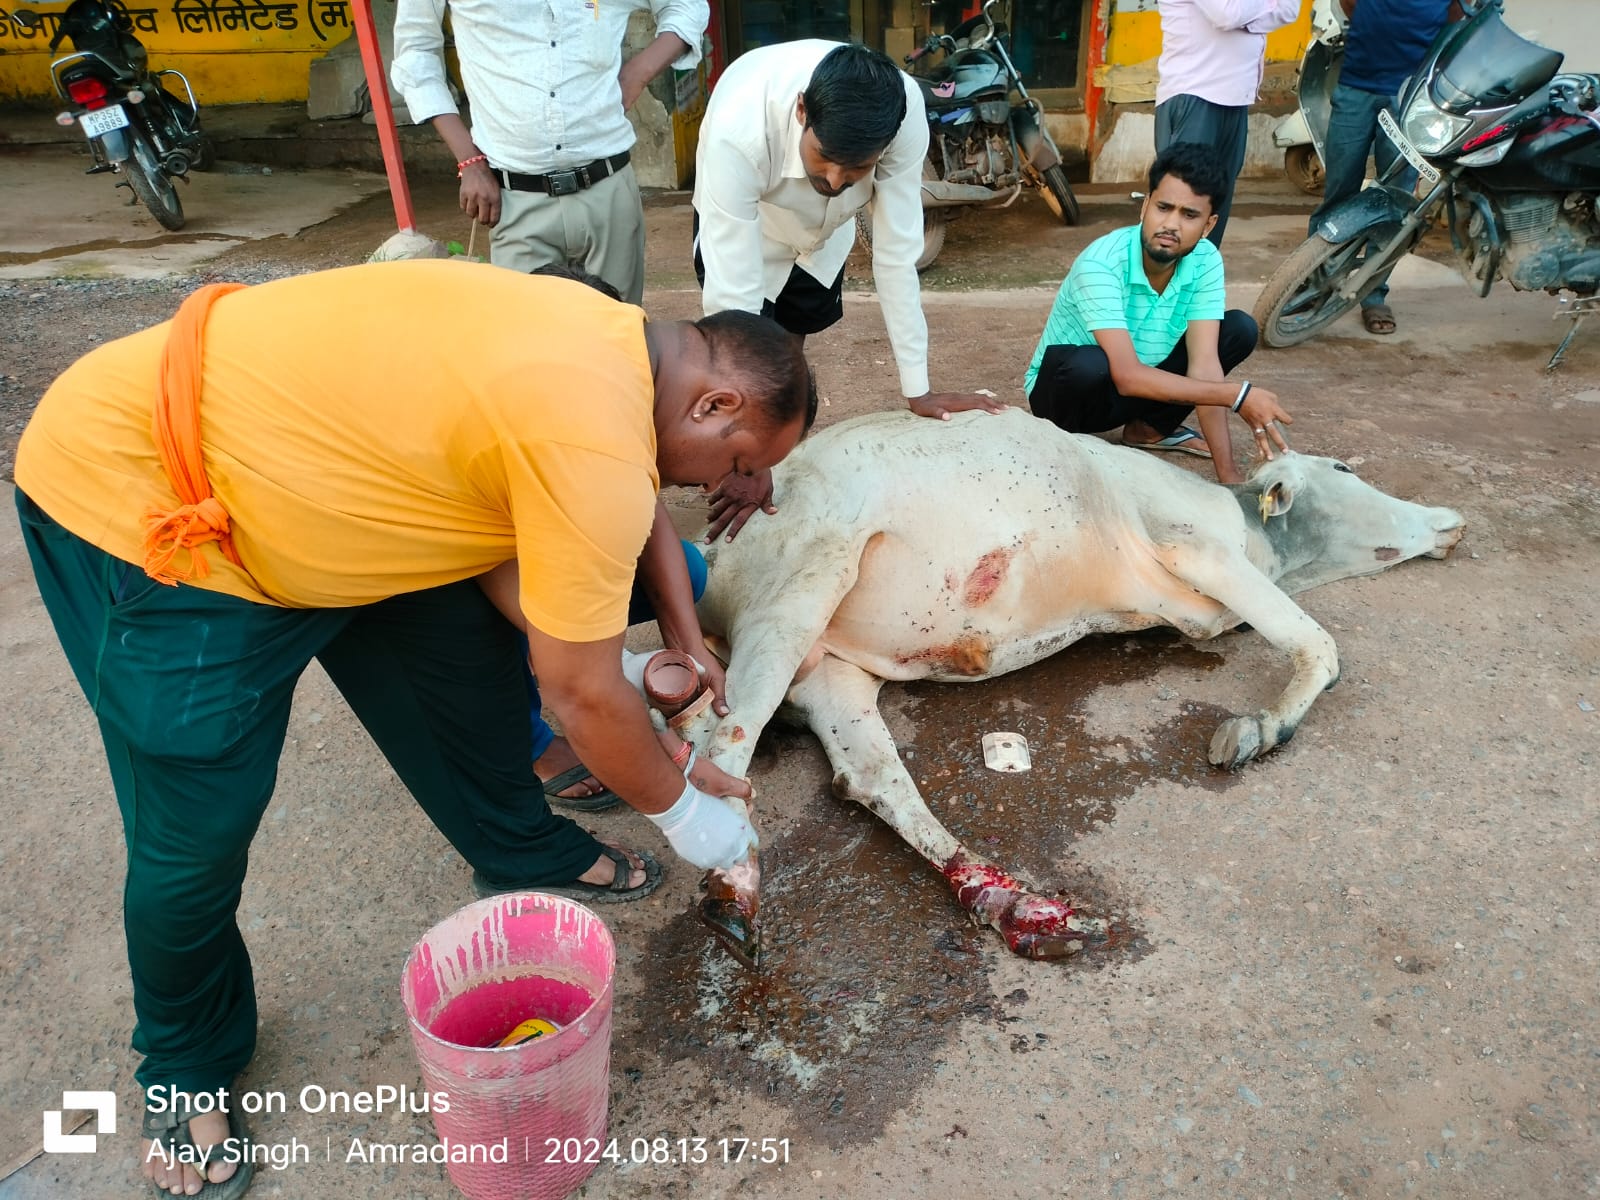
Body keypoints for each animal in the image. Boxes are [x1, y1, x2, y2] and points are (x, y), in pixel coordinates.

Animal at [675, 412, 1465, 966]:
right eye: (1340, 465)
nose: (1449, 519)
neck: (1254, 532)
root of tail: (709, 544)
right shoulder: (1193, 543)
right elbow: (1321, 648)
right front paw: (1259, 728)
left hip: (829, 672)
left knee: (866, 778)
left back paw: (1016, 906)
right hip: (803, 582)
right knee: (725, 741)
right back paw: (732, 894)